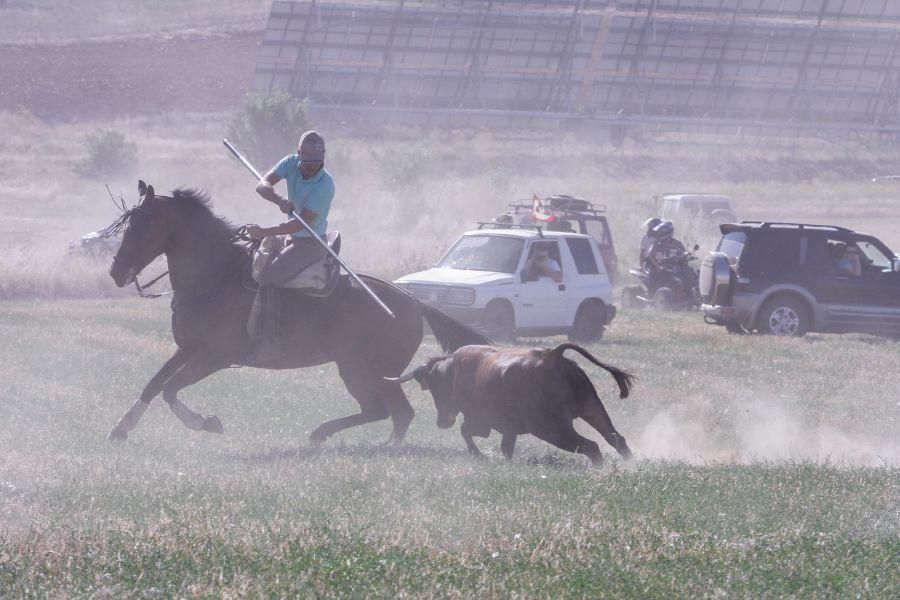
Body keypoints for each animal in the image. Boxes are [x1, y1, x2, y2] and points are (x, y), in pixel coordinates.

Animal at [105, 180, 492, 442]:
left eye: (141, 225)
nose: (116, 272)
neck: (215, 277)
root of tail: (411, 301)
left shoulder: (213, 357)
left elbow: (170, 390)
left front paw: (206, 423)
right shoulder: (187, 349)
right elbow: (154, 384)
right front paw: (121, 427)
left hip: (361, 370)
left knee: (387, 411)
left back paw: (329, 436)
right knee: (394, 414)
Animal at [390, 342, 636, 464]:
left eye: (434, 387)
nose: (442, 422)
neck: (456, 371)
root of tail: (553, 356)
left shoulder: (481, 422)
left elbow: (466, 430)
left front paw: (478, 455)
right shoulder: (509, 428)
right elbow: (505, 446)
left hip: (551, 428)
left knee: (590, 446)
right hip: (592, 409)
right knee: (616, 439)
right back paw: (630, 466)